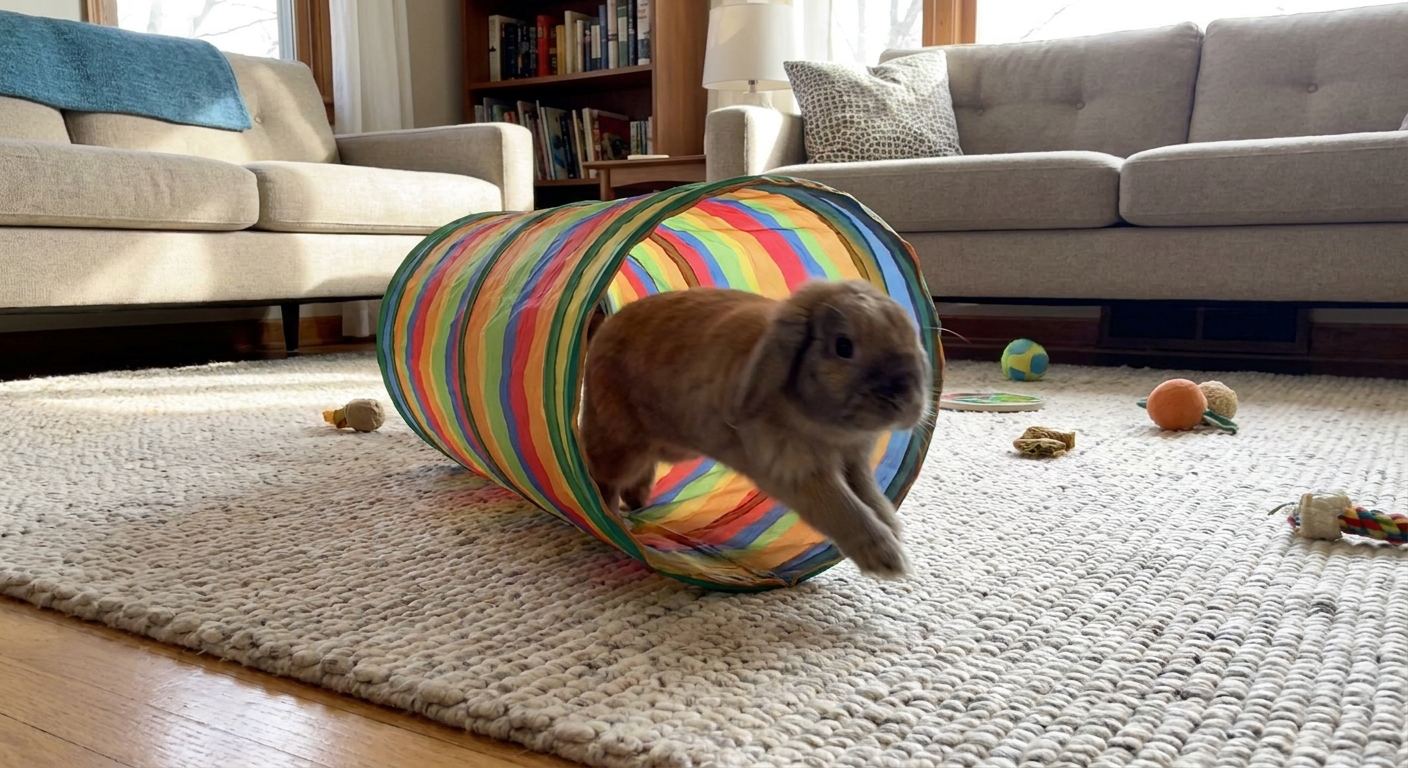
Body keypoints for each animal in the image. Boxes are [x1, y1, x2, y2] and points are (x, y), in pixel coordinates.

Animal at [579, 279, 937, 579]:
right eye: (844, 347)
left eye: (910, 335)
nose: (905, 401)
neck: (828, 430)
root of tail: (606, 327)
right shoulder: (799, 474)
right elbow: (845, 509)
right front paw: (889, 561)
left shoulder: (855, 463)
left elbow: (873, 499)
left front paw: (894, 532)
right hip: (619, 442)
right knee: (605, 479)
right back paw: (613, 521)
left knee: (642, 469)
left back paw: (638, 501)